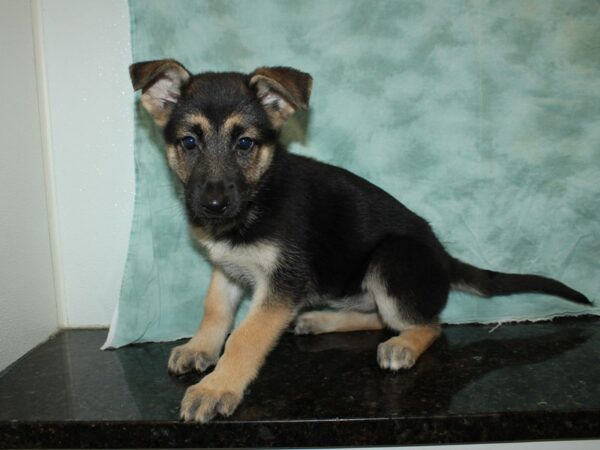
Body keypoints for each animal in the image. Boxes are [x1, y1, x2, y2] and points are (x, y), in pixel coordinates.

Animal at [127, 59, 592, 422]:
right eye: (189, 142)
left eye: (245, 143)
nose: (213, 204)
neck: (254, 204)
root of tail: (443, 257)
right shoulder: (227, 269)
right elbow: (215, 312)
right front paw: (200, 347)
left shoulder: (282, 284)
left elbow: (246, 335)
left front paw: (217, 386)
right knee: (379, 316)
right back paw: (319, 320)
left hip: (392, 258)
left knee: (429, 324)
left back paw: (401, 345)